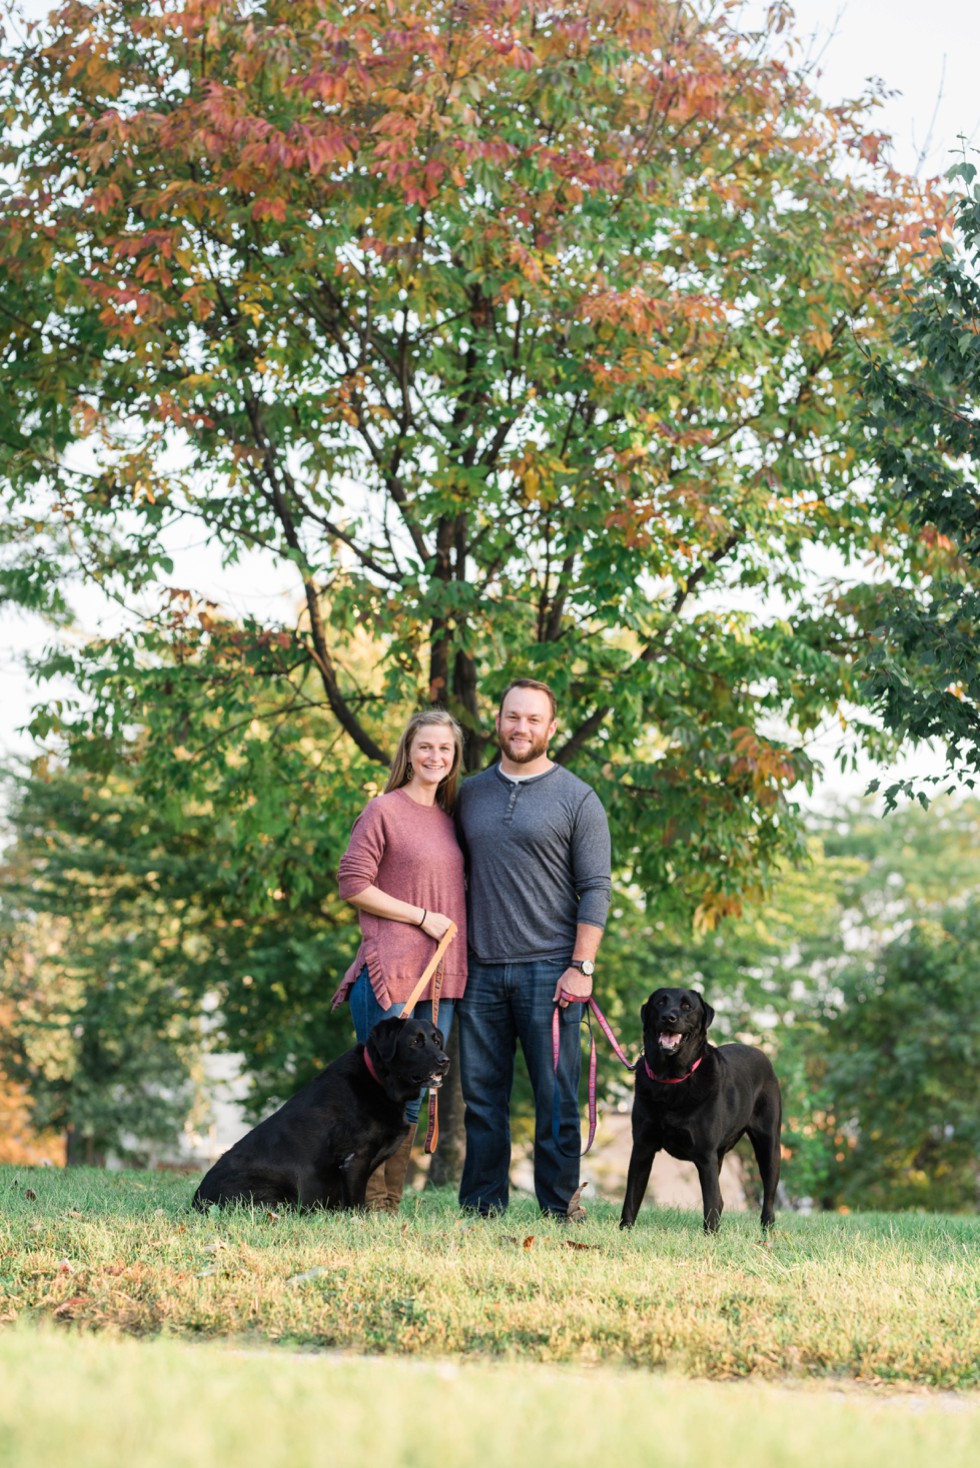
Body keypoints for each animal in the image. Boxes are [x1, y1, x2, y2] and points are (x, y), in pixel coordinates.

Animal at [192, 1015, 451, 1209]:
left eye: (437, 1041)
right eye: (415, 1042)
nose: (445, 1060)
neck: (379, 1081)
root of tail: (197, 1202)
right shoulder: (355, 1158)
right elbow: (356, 1202)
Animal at [619, 986, 780, 1238]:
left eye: (687, 1006)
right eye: (660, 1003)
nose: (669, 1017)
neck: (671, 1080)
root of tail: (761, 1053)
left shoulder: (706, 1155)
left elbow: (710, 1201)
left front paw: (711, 1237)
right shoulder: (642, 1148)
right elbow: (631, 1197)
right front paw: (624, 1230)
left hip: (769, 1145)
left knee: (768, 1197)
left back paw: (767, 1231)